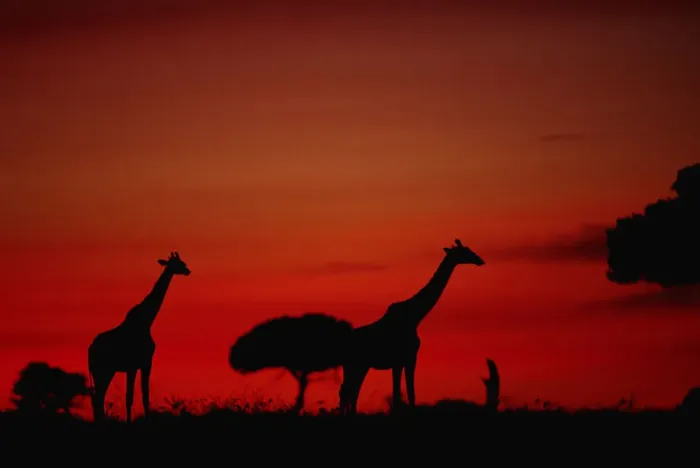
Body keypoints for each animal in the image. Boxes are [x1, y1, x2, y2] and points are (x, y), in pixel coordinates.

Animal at [87, 251, 191, 423]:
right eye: (178, 263)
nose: (188, 271)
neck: (146, 321)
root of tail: (90, 350)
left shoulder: (142, 364)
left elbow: (142, 395)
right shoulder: (137, 364)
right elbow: (133, 396)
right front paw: (131, 422)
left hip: (105, 371)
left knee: (98, 398)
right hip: (101, 370)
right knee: (98, 398)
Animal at [338, 239, 484, 415]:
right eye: (464, 251)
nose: (480, 260)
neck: (415, 316)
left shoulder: (406, 360)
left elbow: (407, 394)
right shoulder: (404, 359)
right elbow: (402, 394)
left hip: (357, 365)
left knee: (350, 392)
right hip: (356, 365)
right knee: (348, 391)